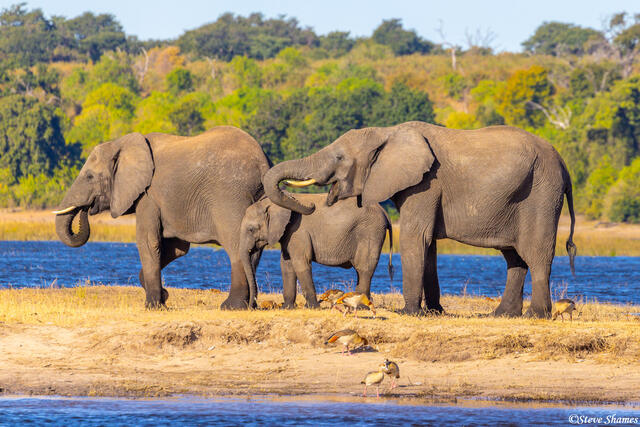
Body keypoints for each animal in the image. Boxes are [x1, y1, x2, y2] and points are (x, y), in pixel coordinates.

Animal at [53, 126, 270, 309]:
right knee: (253, 251)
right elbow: (177, 248)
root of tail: (262, 163)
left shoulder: (148, 195)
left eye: (89, 176)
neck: (122, 144)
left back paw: (231, 306)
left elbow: (148, 241)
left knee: (235, 247)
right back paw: (250, 305)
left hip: (229, 197)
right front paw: (164, 297)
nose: (85, 210)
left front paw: (153, 306)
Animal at [239, 193, 393, 309]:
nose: (252, 306)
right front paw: (287, 308)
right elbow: (286, 265)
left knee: (364, 268)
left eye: (251, 229)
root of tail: (384, 212)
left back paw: (362, 307)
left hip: (371, 232)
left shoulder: (298, 232)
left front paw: (313, 307)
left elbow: (301, 263)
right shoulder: (288, 235)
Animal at [262, 122, 577, 318]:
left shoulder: (426, 183)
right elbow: (429, 245)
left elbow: (415, 237)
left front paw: (408, 312)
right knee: (514, 256)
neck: (386, 133)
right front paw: (435, 312)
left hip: (541, 193)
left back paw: (536, 315)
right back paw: (501, 315)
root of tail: (564, 165)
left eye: (339, 157)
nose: (310, 206)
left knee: (536, 253)